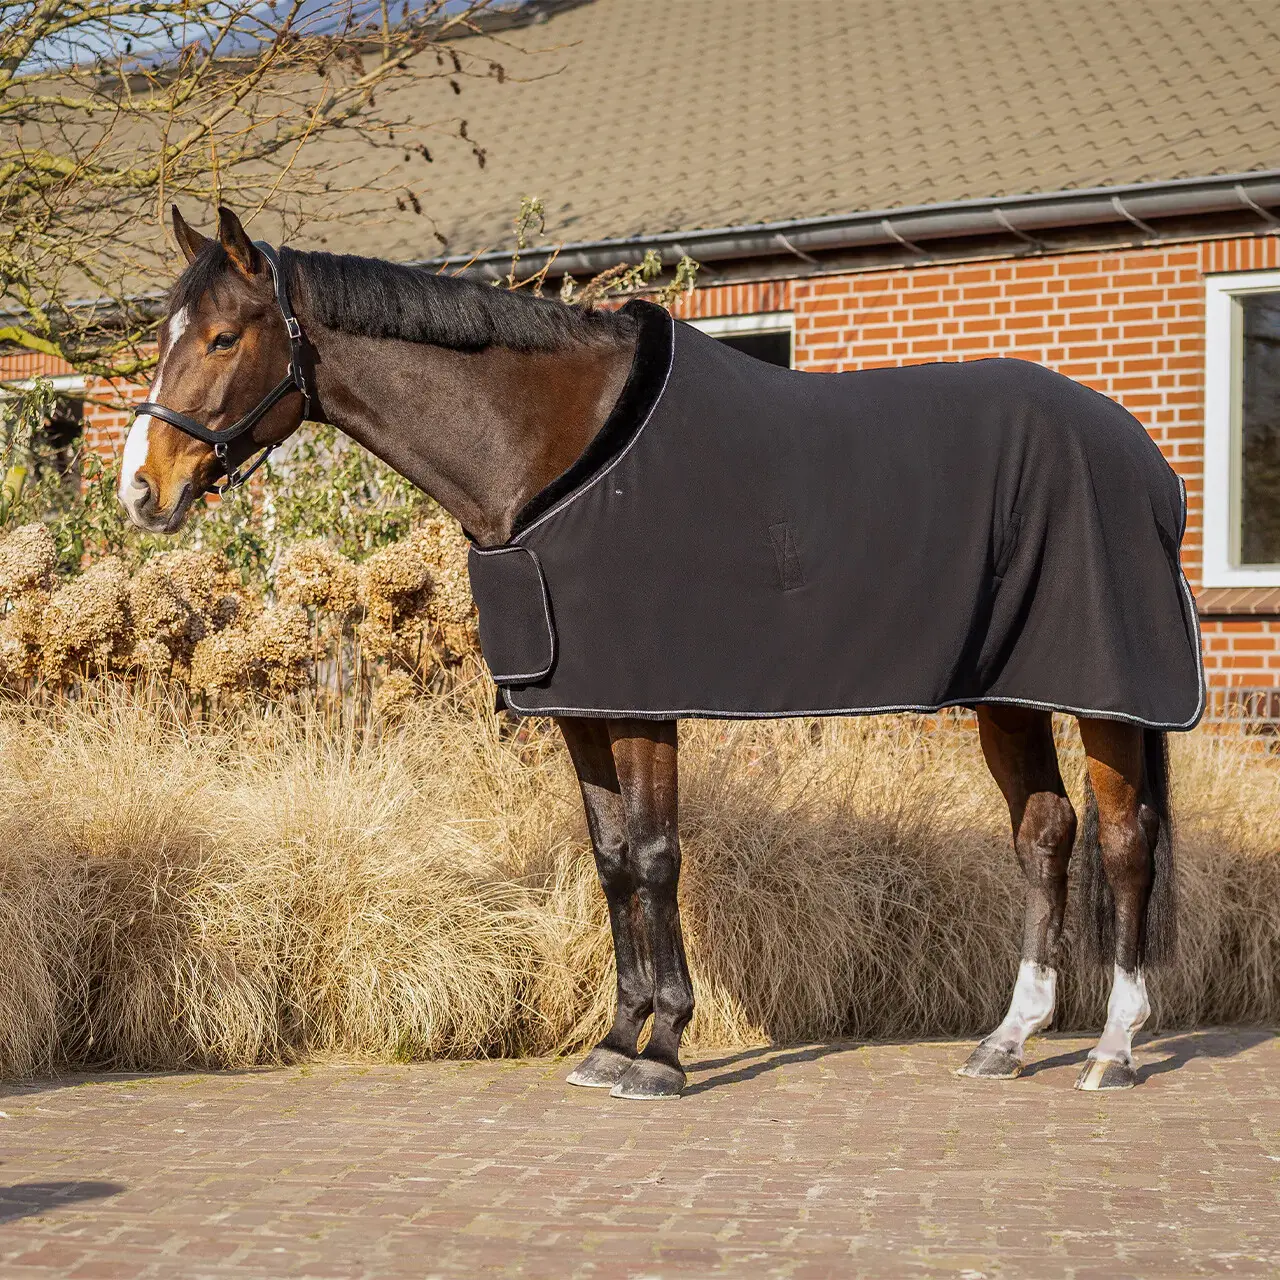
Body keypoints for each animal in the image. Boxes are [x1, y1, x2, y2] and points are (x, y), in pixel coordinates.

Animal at [119, 205, 1202, 1098]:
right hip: (1008, 691)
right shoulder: (581, 703)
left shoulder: (642, 699)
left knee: (1121, 840)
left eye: (223, 336)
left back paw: (1111, 1048)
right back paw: (1008, 1039)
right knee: (1044, 834)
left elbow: (653, 854)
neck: (552, 447)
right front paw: (615, 1038)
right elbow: (609, 861)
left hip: (1105, 695)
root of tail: (1142, 458)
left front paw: (665, 1048)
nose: (141, 489)